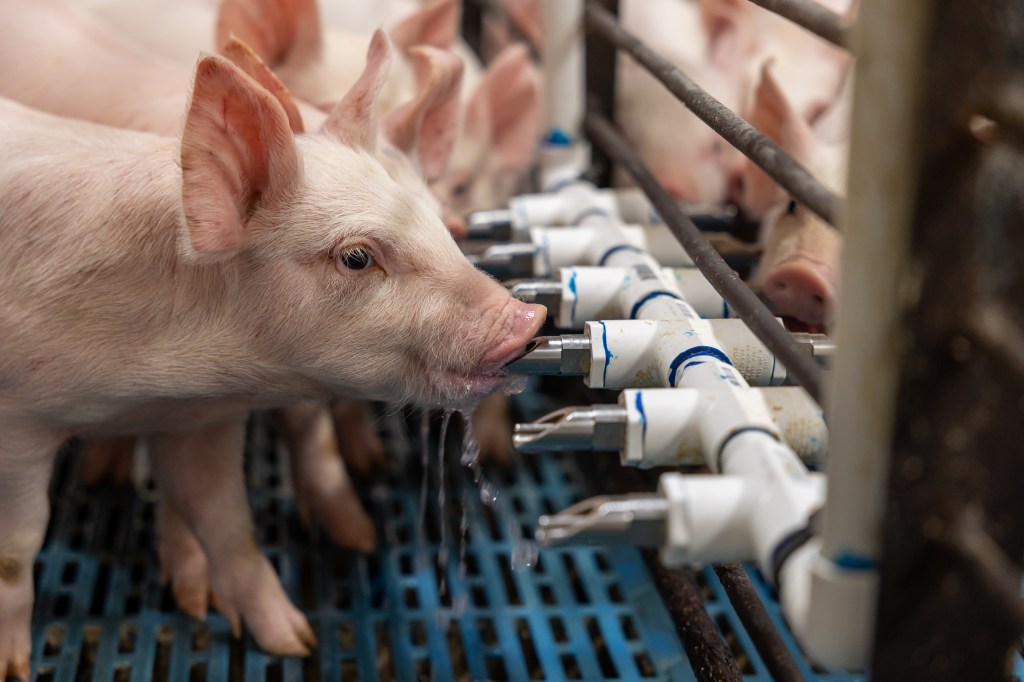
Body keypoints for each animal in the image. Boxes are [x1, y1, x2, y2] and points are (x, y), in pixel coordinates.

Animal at [0, 36, 543, 674]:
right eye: (356, 258)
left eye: (438, 220)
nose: (528, 318)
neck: (150, 383)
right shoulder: (17, 425)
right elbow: (18, 546)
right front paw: (14, 666)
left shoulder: (193, 422)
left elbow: (226, 520)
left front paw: (296, 638)